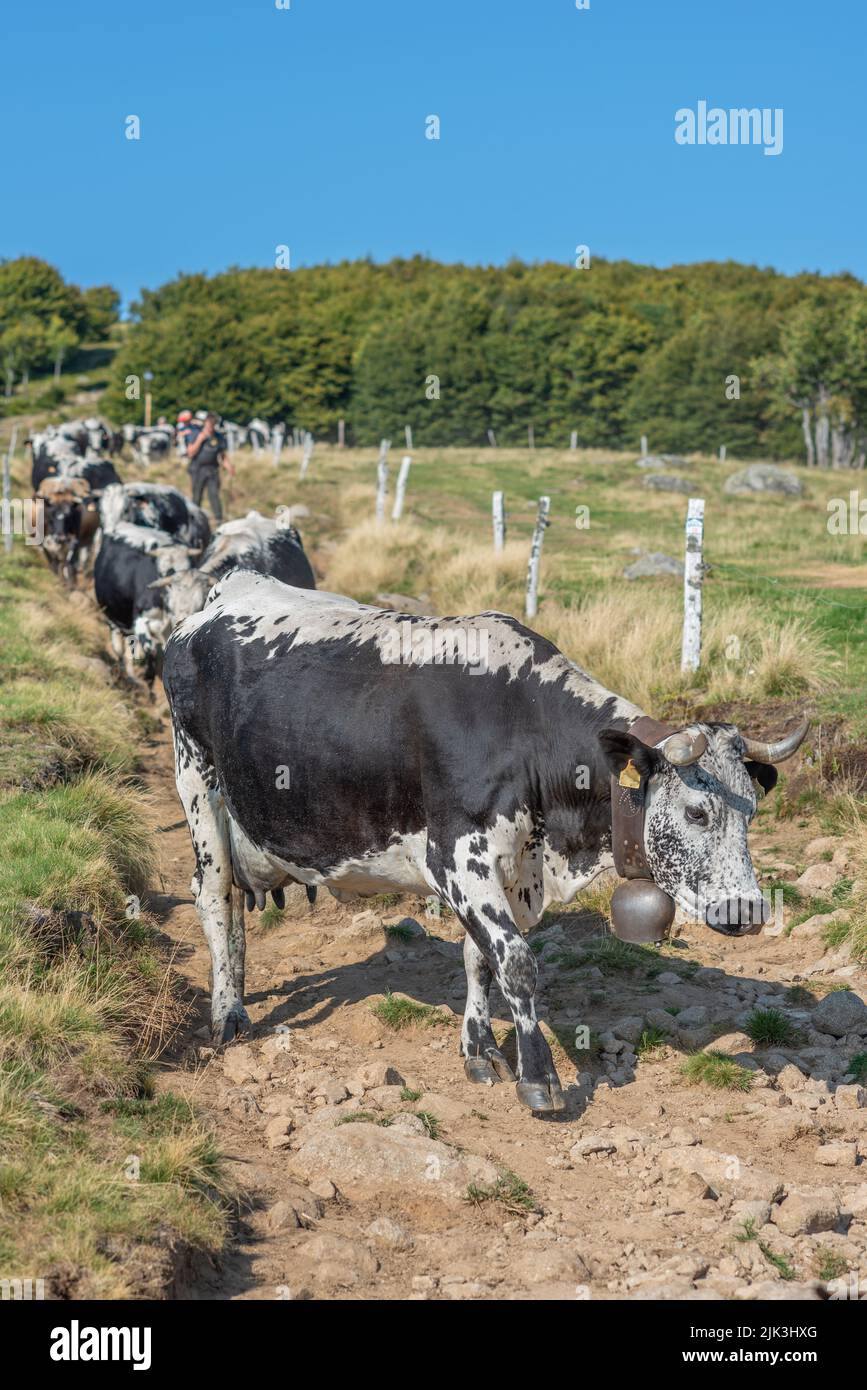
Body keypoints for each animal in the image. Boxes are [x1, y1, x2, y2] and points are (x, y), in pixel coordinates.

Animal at [94, 522, 202, 689]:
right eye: (162, 572)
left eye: (198, 606)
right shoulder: (140, 620)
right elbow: (150, 650)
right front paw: (146, 677)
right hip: (113, 615)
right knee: (119, 647)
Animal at [163, 581, 805, 1112]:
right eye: (697, 811)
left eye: (751, 811)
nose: (749, 910)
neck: (519, 729)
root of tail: (224, 592)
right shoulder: (455, 859)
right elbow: (516, 962)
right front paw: (538, 1076)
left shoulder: (509, 872)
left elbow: (481, 957)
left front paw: (479, 1049)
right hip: (198, 783)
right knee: (215, 896)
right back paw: (228, 1015)